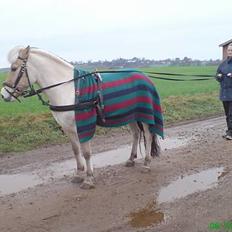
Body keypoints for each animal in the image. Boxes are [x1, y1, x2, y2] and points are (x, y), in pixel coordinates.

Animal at [0, 46, 162, 189]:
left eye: (14, 68)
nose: (3, 94)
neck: (67, 89)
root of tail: (144, 76)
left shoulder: (83, 125)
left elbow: (86, 152)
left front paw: (89, 179)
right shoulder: (69, 128)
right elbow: (76, 150)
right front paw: (78, 174)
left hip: (144, 115)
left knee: (148, 135)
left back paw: (147, 163)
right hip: (131, 115)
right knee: (136, 134)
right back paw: (131, 159)